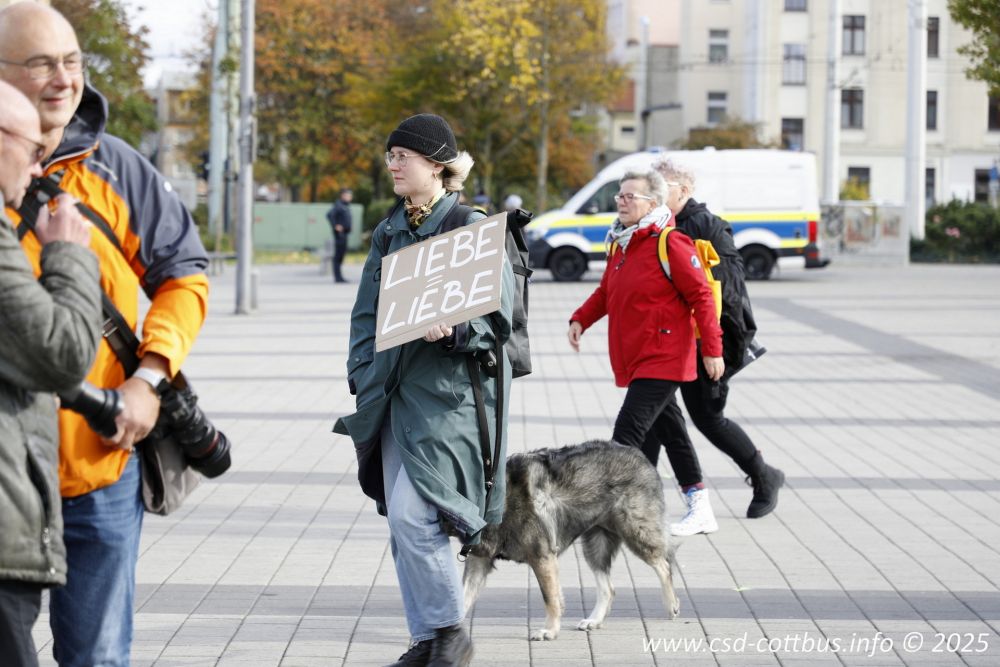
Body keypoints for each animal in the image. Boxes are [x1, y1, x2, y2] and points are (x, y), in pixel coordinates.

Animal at [461, 439, 680, 641]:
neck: (491, 495)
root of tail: (638, 453)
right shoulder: (478, 562)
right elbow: (462, 598)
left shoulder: (542, 557)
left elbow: (550, 598)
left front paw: (549, 631)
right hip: (595, 546)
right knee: (608, 588)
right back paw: (594, 620)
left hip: (637, 532)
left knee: (664, 565)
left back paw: (672, 604)